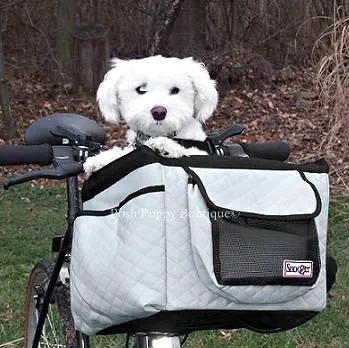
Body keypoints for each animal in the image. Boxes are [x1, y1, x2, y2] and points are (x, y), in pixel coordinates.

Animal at [83, 55, 218, 174]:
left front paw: (166, 146)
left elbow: (189, 151)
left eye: (175, 90)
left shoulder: (202, 155)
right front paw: (99, 160)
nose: (159, 112)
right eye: (141, 89)